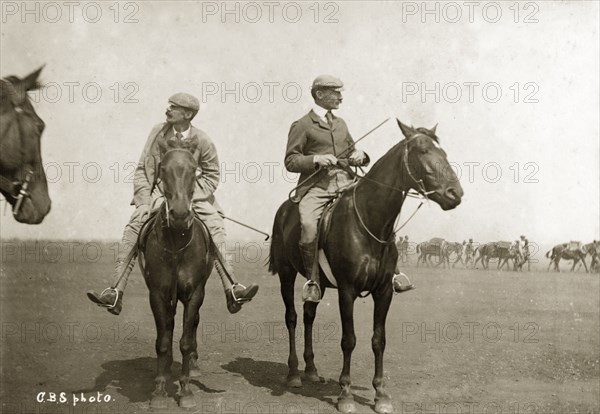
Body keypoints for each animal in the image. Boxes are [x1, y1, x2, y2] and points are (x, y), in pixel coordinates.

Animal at [138, 146, 216, 408]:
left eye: (193, 170)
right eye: (163, 169)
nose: (180, 214)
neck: (176, 244)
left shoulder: (195, 294)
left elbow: (186, 340)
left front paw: (186, 391)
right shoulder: (157, 294)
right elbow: (163, 341)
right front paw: (159, 390)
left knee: (192, 325)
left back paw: (192, 365)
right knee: (170, 325)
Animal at [268, 120, 464, 414]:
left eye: (443, 151)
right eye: (422, 150)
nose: (455, 194)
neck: (370, 222)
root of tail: (283, 210)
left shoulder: (384, 291)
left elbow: (378, 340)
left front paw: (381, 394)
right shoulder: (346, 290)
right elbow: (349, 340)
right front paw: (345, 394)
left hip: (317, 283)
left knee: (308, 314)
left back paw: (311, 370)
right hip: (286, 274)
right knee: (291, 317)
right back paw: (293, 374)